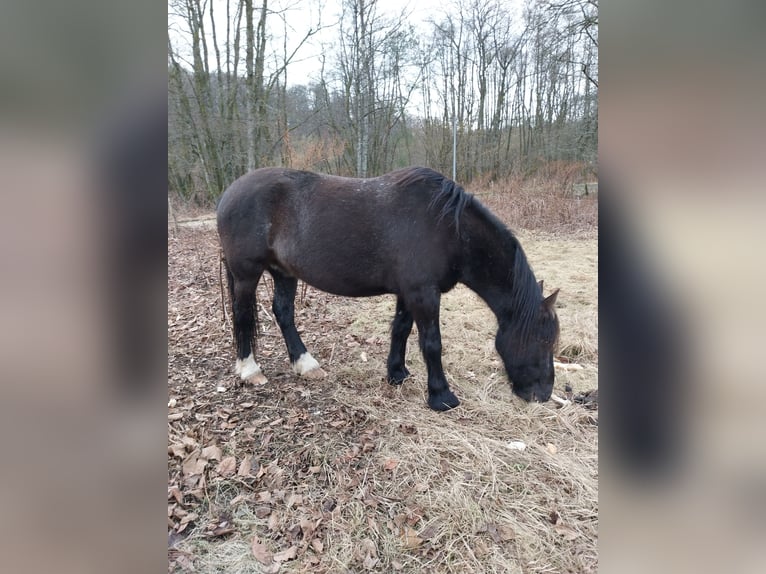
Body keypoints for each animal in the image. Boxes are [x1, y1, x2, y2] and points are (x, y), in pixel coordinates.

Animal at [216, 164, 560, 412]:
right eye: (544, 339)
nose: (543, 394)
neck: (449, 229)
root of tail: (230, 191)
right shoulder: (423, 293)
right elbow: (432, 343)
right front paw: (441, 396)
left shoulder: (409, 293)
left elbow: (401, 330)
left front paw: (397, 374)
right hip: (246, 274)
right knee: (242, 314)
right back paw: (249, 369)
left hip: (284, 272)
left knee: (283, 312)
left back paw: (305, 364)